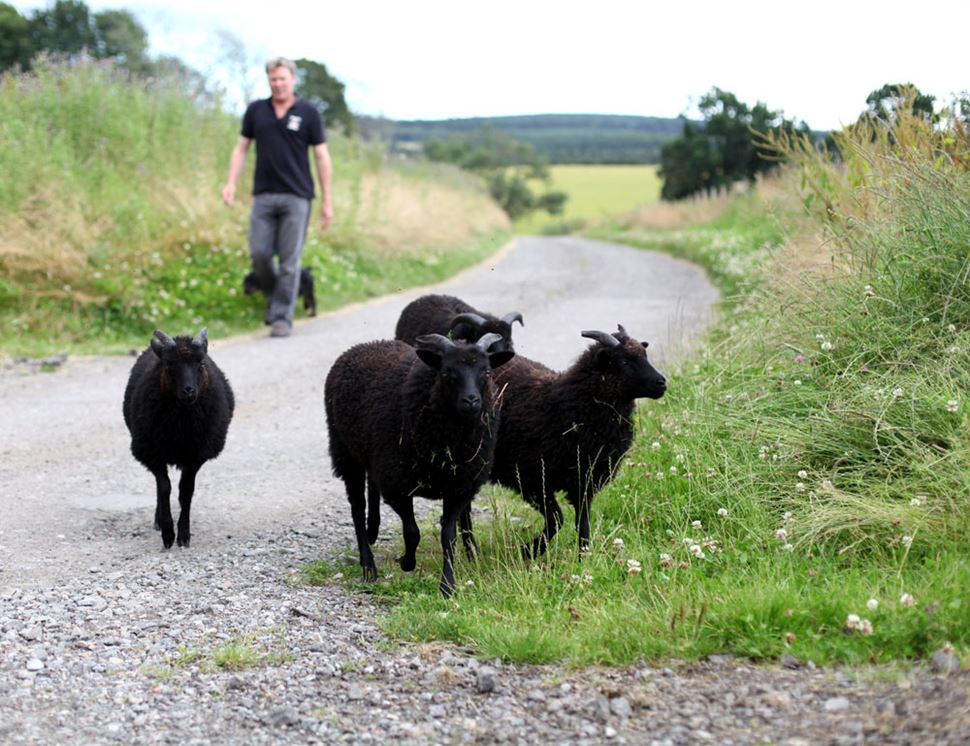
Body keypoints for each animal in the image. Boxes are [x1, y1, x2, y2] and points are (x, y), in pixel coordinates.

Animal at [122, 326, 233, 548]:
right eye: (169, 365)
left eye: (200, 364)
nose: (189, 391)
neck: (181, 424)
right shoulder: (153, 453)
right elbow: (164, 488)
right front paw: (167, 533)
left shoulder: (196, 455)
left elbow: (186, 491)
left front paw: (183, 534)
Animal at [324, 334, 516, 596]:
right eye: (446, 372)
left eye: (486, 371)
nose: (471, 401)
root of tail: (368, 343)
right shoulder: (397, 486)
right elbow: (412, 532)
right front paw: (406, 562)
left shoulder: (459, 486)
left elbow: (448, 536)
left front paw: (448, 586)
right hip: (345, 453)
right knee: (357, 508)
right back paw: (368, 565)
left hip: (371, 454)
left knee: (372, 487)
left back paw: (374, 530)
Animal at [488, 322, 660, 556]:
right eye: (624, 362)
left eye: (645, 355)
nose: (662, 383)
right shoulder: (531, 480)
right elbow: (557, 519)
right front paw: (529, 551)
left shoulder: (584, 482)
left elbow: (583, 525)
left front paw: (583, 558)